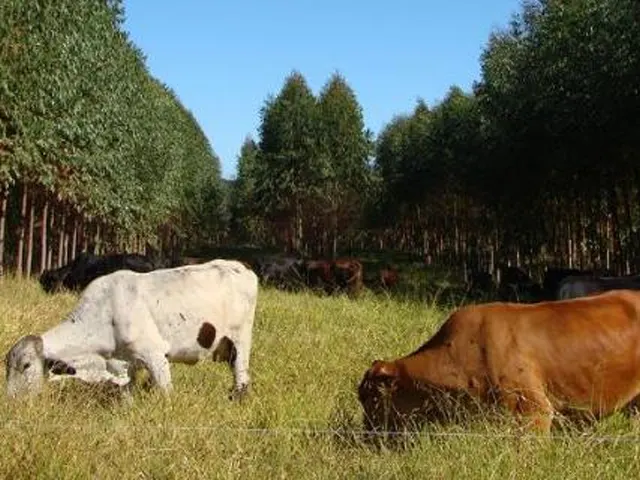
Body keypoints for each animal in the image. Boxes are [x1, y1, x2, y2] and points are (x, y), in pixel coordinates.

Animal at [3, 258, 258, 402]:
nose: (9, 400)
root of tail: (241, 265)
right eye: (6, 367)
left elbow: (167, 395)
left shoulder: (155, 355)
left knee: (242, 376)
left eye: (26, 365)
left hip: (241, 341)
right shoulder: (123, 365)